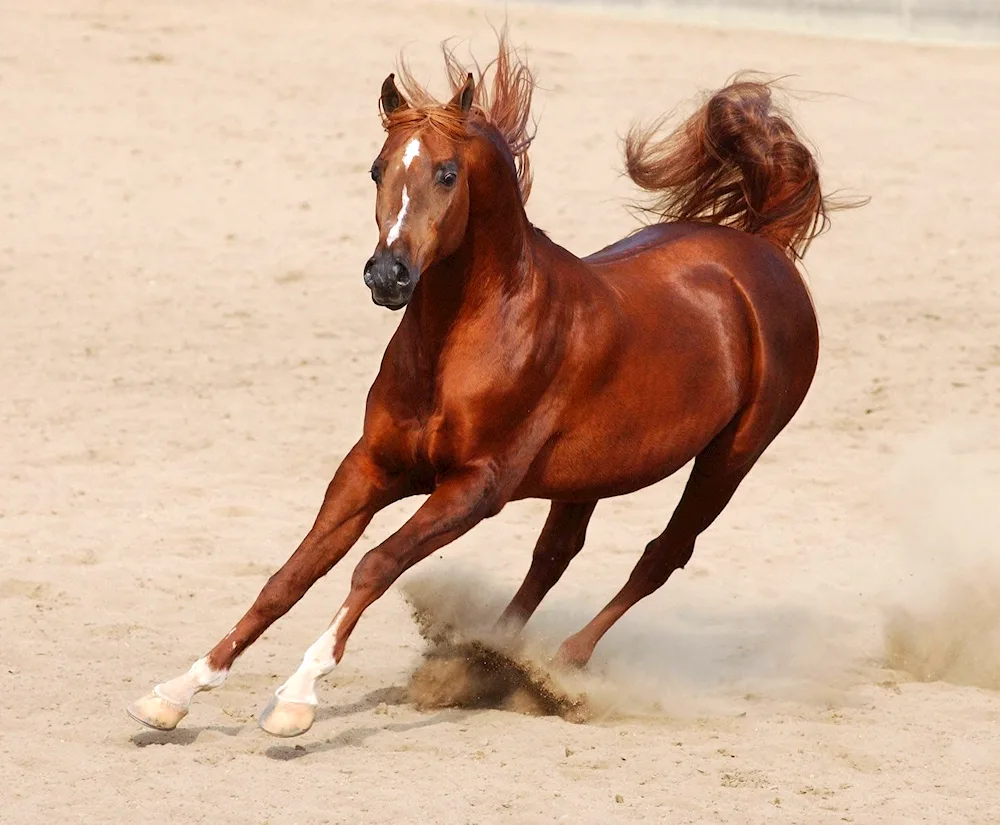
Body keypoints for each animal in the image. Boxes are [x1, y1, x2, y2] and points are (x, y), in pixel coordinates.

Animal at [125, 35, 844, 736]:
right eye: (377, 169)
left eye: (447, 173)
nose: (387, 275)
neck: (460, 342)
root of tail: (764, 250)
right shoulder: (372, 465)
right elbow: (290, 575)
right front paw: (174, 693)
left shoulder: (476, 486)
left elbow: (374, 564)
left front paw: (296, 698)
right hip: (594, 471)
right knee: (555, 554)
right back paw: (488, 658)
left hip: (732, 456)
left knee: (662, 554)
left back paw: (558, 669)